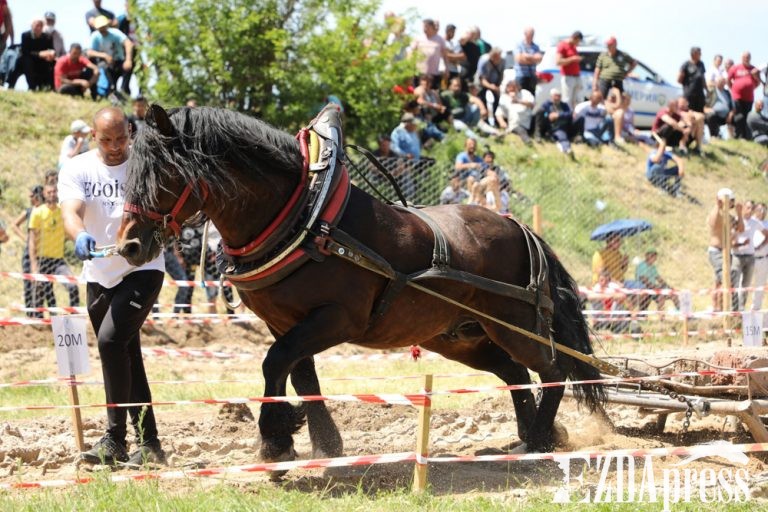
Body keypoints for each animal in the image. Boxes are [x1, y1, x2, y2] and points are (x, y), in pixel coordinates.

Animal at [117, 104, 604, 468]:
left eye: (161, 173)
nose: (129, 245)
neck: (307, 216)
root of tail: (517, 225)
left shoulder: (337, 318)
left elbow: (275, 364)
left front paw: (275, 438)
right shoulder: (284, 322)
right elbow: (300, 374)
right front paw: (321, 442)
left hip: (511, 323)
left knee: (552, 371)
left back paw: (540, 439)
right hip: (461, 337)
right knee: (516, 373)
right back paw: (530, 436)